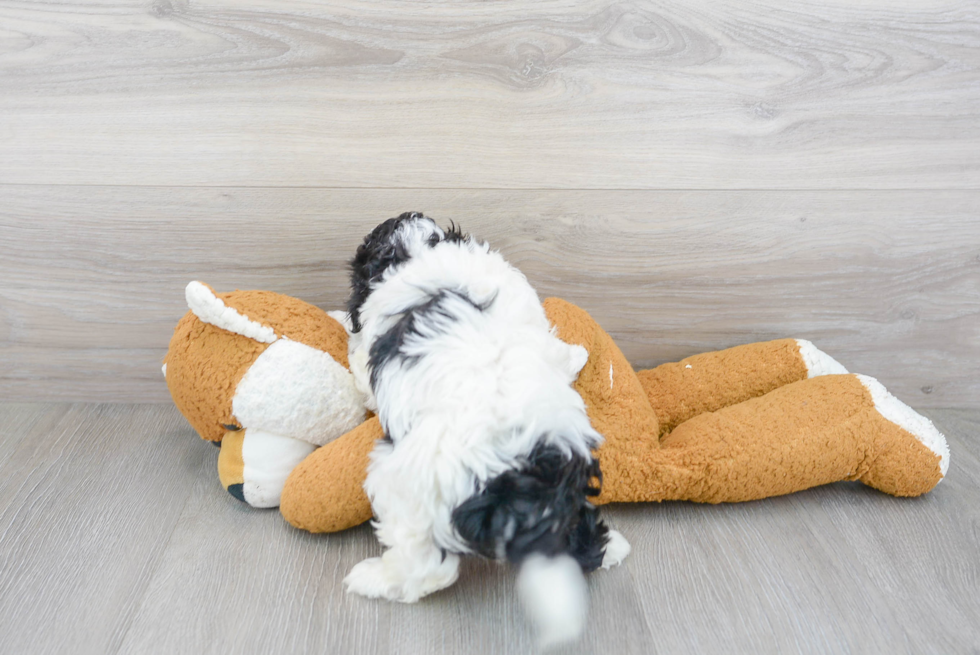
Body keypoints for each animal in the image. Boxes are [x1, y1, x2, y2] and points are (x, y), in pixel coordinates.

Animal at [342, 214, 628, 644]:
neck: (420, 252)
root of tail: (520, 473)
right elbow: (560, 351)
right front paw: (577, 356)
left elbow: (359, 362)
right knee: (583, 534)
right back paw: (610, 551)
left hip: (404, 485)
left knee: (428, 568)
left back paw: (373, 578)